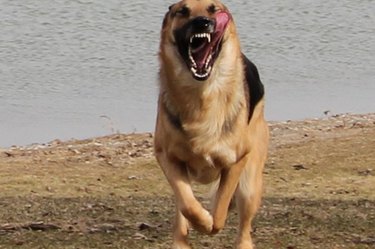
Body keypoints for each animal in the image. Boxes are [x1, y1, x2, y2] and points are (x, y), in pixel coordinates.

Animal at [154, 0, 268, 248]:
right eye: (182, 11)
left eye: (214, 9)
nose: (202, 22)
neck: (201, 96)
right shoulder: (168, 157)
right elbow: (188, 205)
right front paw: (201, 220)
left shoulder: (236, 161)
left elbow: (221, 207)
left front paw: (210, 222)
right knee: (181, 210)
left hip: (249, 186)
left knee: (244, 226)